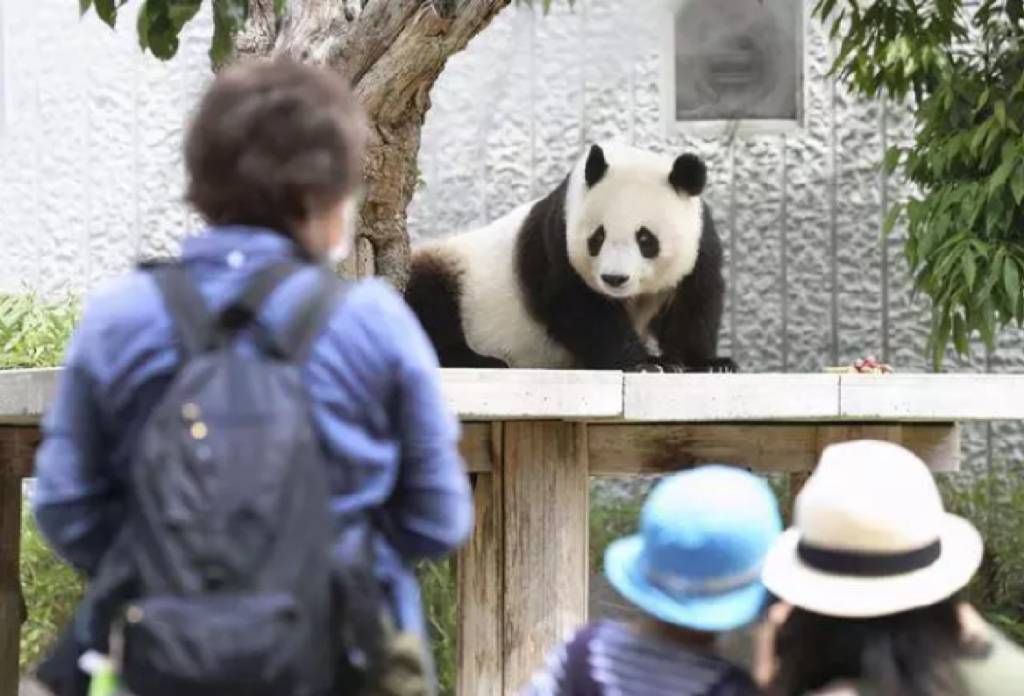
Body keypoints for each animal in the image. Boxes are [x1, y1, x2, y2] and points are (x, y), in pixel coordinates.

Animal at [405, 138, 737, 372]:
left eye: (645, 239)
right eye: (598, 237)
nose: (614, 279)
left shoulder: (700, 243)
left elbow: (695, 302)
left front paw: (707, 363)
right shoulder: (556, 241)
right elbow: (577, 308)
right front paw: (644, 363)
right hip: (448, 266)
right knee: (428, 305)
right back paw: (479, 360)